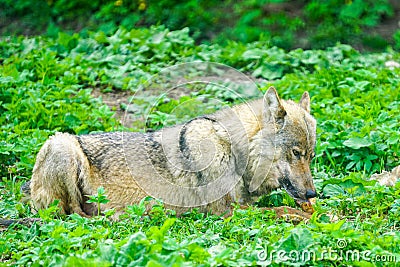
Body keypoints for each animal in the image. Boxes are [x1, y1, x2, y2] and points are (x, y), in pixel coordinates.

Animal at [23, 87, 318, 219]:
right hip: (62, 145)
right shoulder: (226, 211)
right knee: (74, 215)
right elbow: (281, 209)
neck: (233, 150)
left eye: (310, 155)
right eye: (296, 153)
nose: (313, 193)